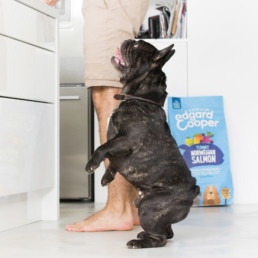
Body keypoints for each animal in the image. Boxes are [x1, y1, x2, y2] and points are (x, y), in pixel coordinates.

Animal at [85, 39, 200, 248]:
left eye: (138, 47)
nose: (130, 40)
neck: (140, 97)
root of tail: (192, 192)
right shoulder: (119, 145)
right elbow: (113, 158)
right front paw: (107, 177)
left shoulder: (126, 139)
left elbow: (103, 147)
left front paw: (92, 164)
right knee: (167, 230)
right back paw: (142, 236)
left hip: (148, 208)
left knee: (161, 238)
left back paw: (139, 242)